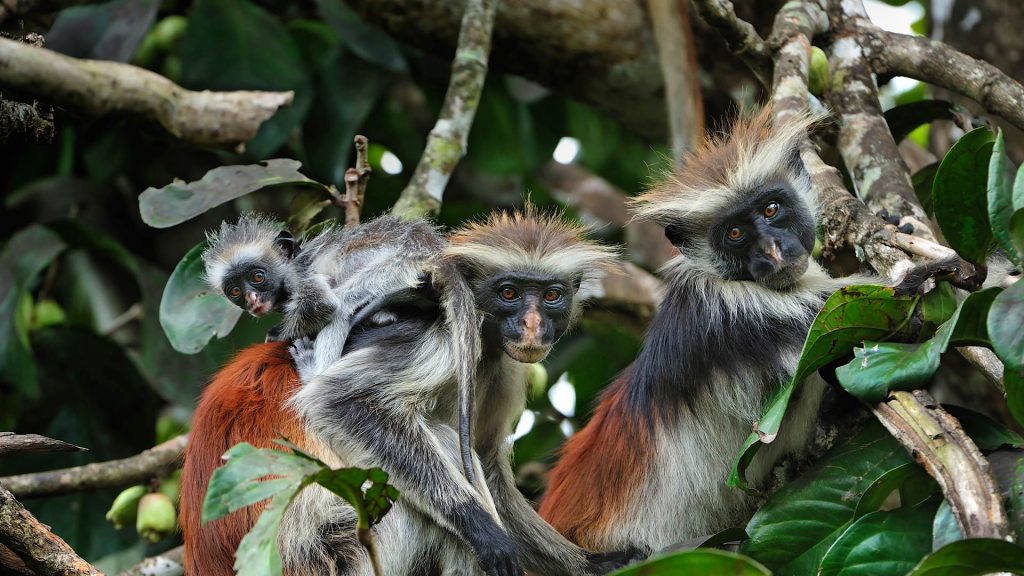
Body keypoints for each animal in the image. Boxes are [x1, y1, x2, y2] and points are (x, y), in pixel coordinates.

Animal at [180, 208, 634, 573]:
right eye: (510, 293)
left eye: (552, 296)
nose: (532, 325)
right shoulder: (441, 341)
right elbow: (338, 401)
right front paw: (481, 527)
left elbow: (485, 460)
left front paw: (588, 564)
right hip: (346, 545)